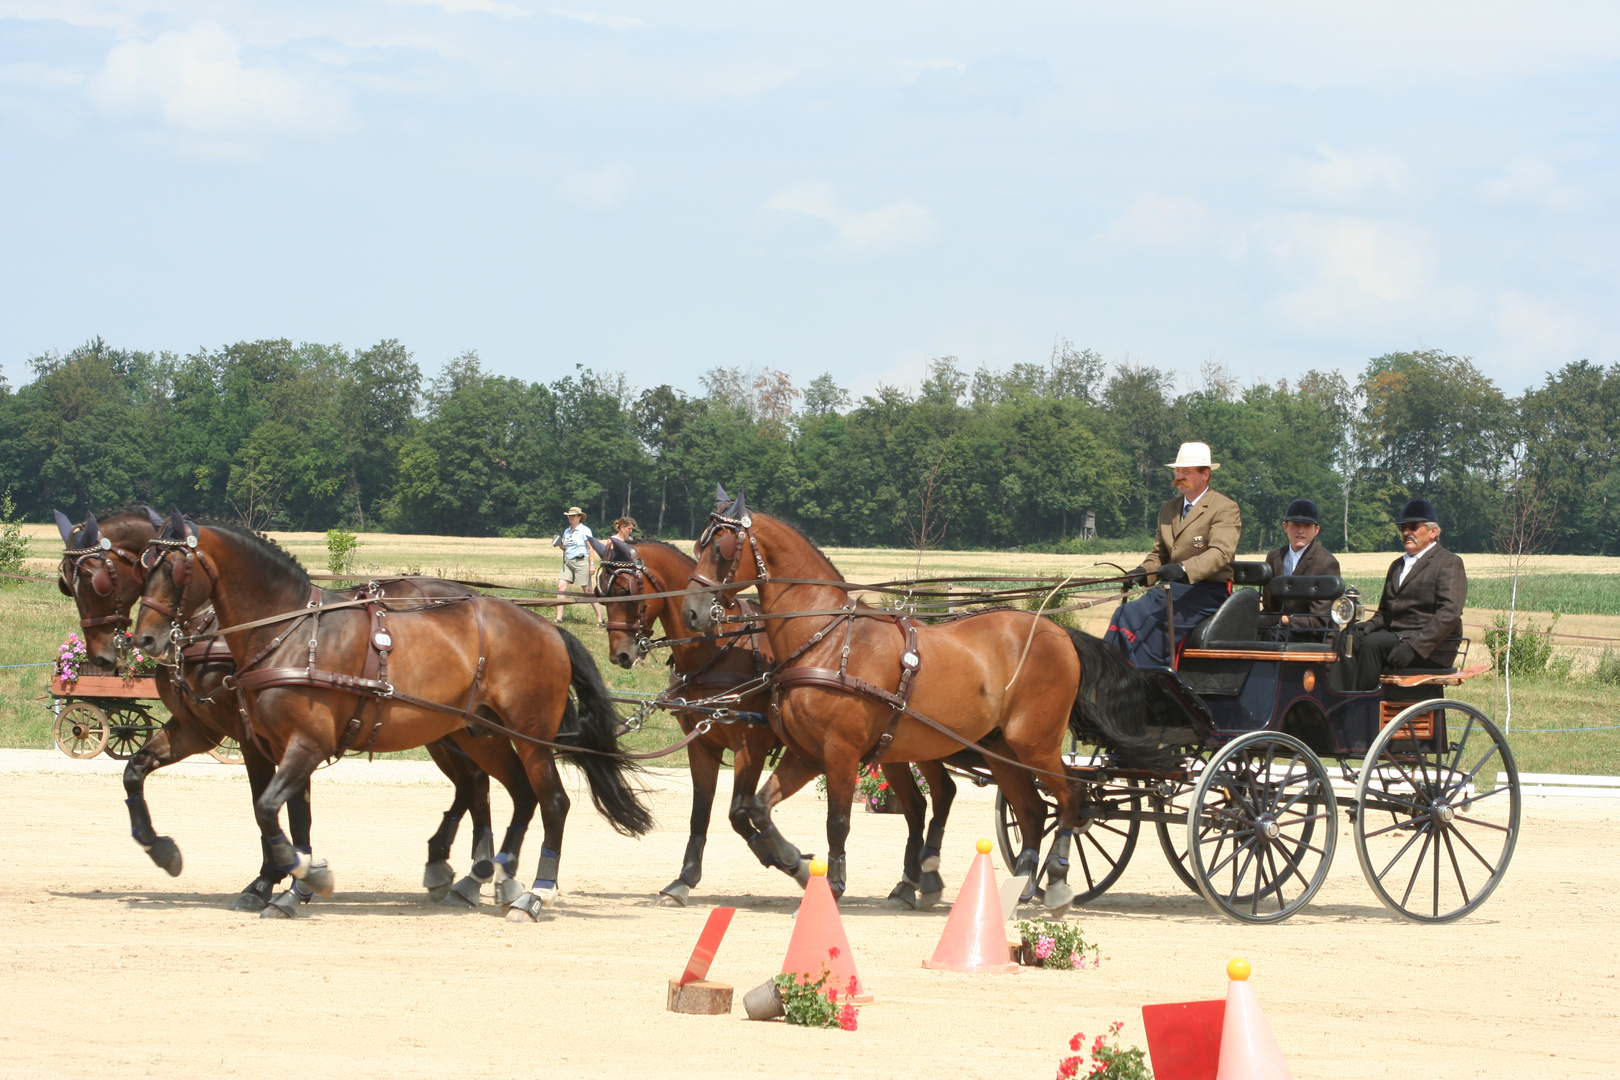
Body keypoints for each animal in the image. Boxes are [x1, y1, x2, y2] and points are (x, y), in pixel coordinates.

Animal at [57, 511, 537, 919]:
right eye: (67, 584)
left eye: (98, 579)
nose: (103, 655)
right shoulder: (199, 730)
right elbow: (136, 771)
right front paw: (164, 850)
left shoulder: (253, 738)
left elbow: (268, 806)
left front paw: (270, 881)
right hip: (445, 730)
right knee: (473, 786)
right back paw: (461, 871)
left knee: (477, 784)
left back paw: (475, 873)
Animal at [131, 514, 651, 919]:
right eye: (143, 565)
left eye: (174, 569)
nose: (144, 641)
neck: (290, 631)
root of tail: (546, 626)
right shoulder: (276, 744)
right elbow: (295, 818)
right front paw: (294, 883)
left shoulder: (303, 745)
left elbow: (266, 809)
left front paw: (298, 878)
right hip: (479, 734)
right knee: (516, 794)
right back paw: (492, 874)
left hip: (529, 736)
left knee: (552, 802)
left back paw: (536, 893)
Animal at [592, 531, 946, 913]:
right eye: (601, 593)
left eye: (625, 591)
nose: (620, 655)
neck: (718, 649)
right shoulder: (702, 745)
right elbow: (701, 813)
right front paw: (684, 880)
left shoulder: (752, 743)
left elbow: (738, 812)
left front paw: (790, 861)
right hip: (891, 749)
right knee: (918, 805)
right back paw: (909, 884)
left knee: (937, 795)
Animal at [677, 495, 1172, 906]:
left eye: (721, 549)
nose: (692, 613)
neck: (827, 639)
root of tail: (1059, 632)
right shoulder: (807, 754)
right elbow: (757, 808)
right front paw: (794, 862)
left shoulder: (840, 752)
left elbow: (838, 820)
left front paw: (831, 883)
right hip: (1001, 749)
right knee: (1032, 811)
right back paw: (1020, 886)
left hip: (1035, 742)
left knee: (1072, 798)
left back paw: (1057, 880)